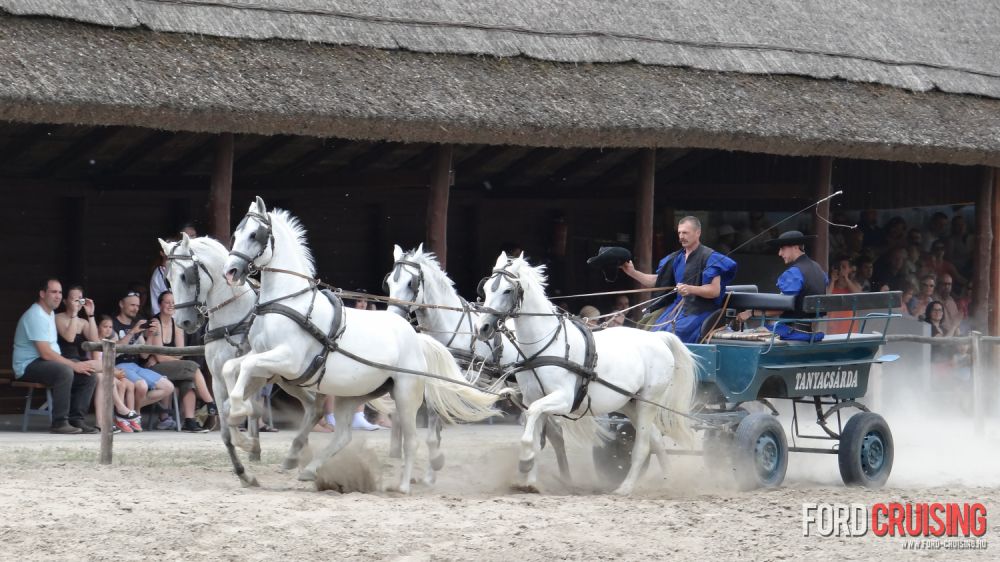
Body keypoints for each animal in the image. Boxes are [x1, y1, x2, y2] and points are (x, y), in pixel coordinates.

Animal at [158, 234, 324, 484]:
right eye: (167, 279)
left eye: (186, 275)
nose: (183, 322)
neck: (232, 320)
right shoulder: (217, 381)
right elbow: (226, 431)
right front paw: (244, 471)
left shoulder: (256, 375)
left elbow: (236, 411)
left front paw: (250, 444)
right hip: (291, 379)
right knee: (314, 407)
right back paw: (296, 454)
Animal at [223, 198, 504, 490]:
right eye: (236, 234)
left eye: (255, 234)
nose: (230, 271)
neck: (289, 302)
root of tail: (416, 336)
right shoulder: (264, 357)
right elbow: (231, 368)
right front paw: (239, 423)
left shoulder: (288, 360)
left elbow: (244, 368)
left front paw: (239, 411)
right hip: (351, 395)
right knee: (343, 435)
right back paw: (310, 469)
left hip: (405, 394)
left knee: (411, 440)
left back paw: (402, 486)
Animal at [384, 243, 608, 480]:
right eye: (389, 282)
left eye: (411, 283)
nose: (394, 317)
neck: (453, 328)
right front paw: (427, 472)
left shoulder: (464, 380)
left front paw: (434, 464)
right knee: (553, 431)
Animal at [474, 252, 696, 492]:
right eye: (485, 288)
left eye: (507, 290)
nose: (482, 328)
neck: (546, 344)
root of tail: (658, 338)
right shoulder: (533, 397)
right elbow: (534, 434)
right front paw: (529, 482)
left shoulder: (563, 399)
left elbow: (533, 417)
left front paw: (525, 462)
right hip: (629, 403)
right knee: (655, 439)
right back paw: (667, 481)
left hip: (648, 401)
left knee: (643, 445)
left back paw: (625, 487)